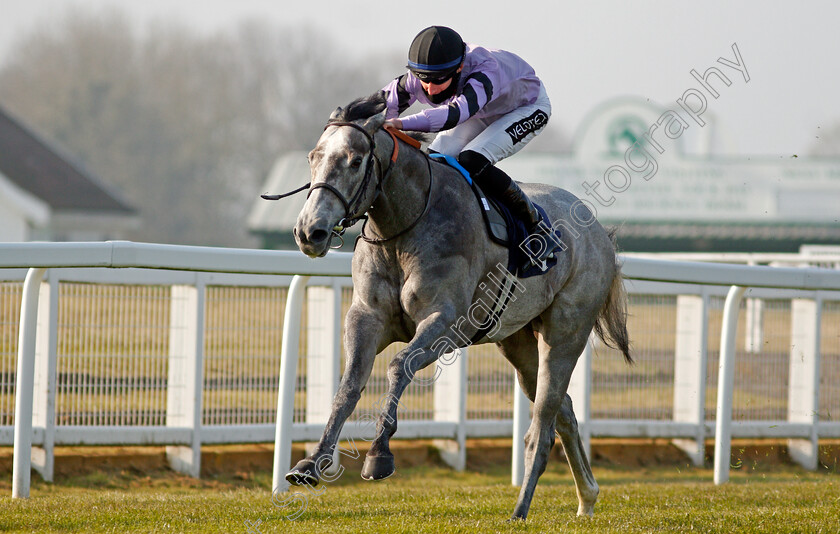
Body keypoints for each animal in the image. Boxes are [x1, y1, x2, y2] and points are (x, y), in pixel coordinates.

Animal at [290, 93, 632, 524]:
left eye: (354, 160)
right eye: (313, 157)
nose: (309, 232)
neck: (405, 227)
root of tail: (599, 232)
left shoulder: (446, 322)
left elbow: (398, 365)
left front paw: (378, 456)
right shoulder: (366, 317)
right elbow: (349, 385)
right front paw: (310, 464)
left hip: (566, 333)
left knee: (543, 424)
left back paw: (521, 509)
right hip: (517, 341)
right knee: (563, 410)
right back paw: (586, 497)